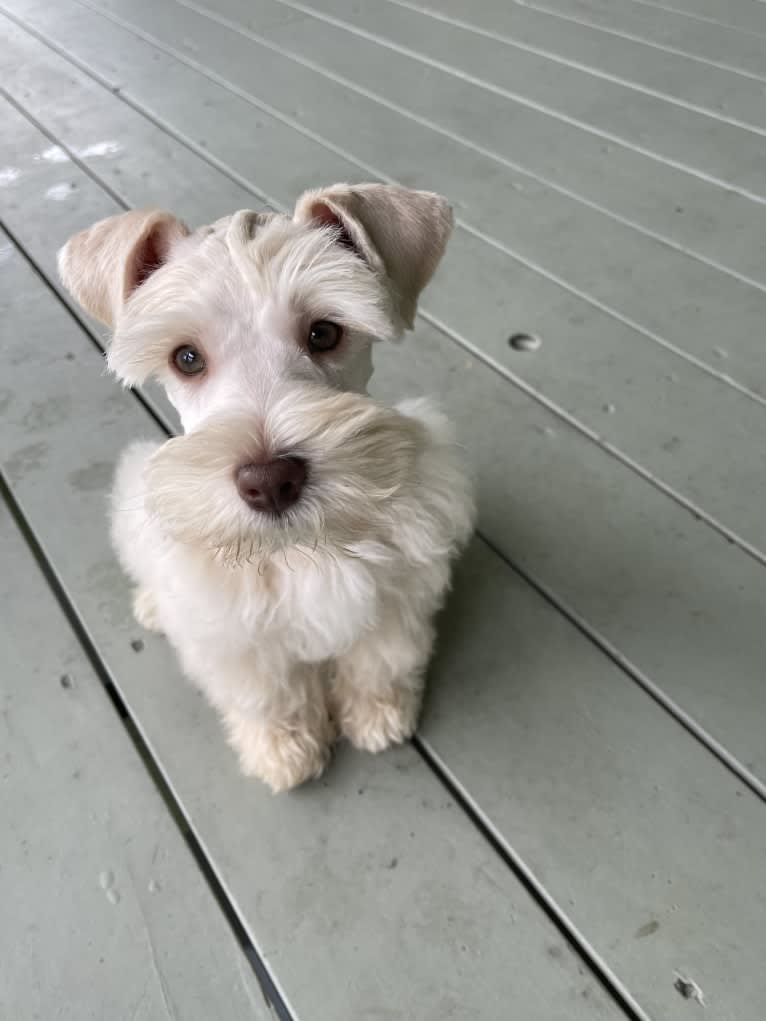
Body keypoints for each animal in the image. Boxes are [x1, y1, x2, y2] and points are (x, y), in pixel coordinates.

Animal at [60, 181, 477, 788]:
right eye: (186, 358)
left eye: (324, 332)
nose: (270, 481)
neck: (299, 549)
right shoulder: (235, 636)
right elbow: (268, 696)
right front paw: (283, 750)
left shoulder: (397, 595)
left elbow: (379, 661)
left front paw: (377, 715)